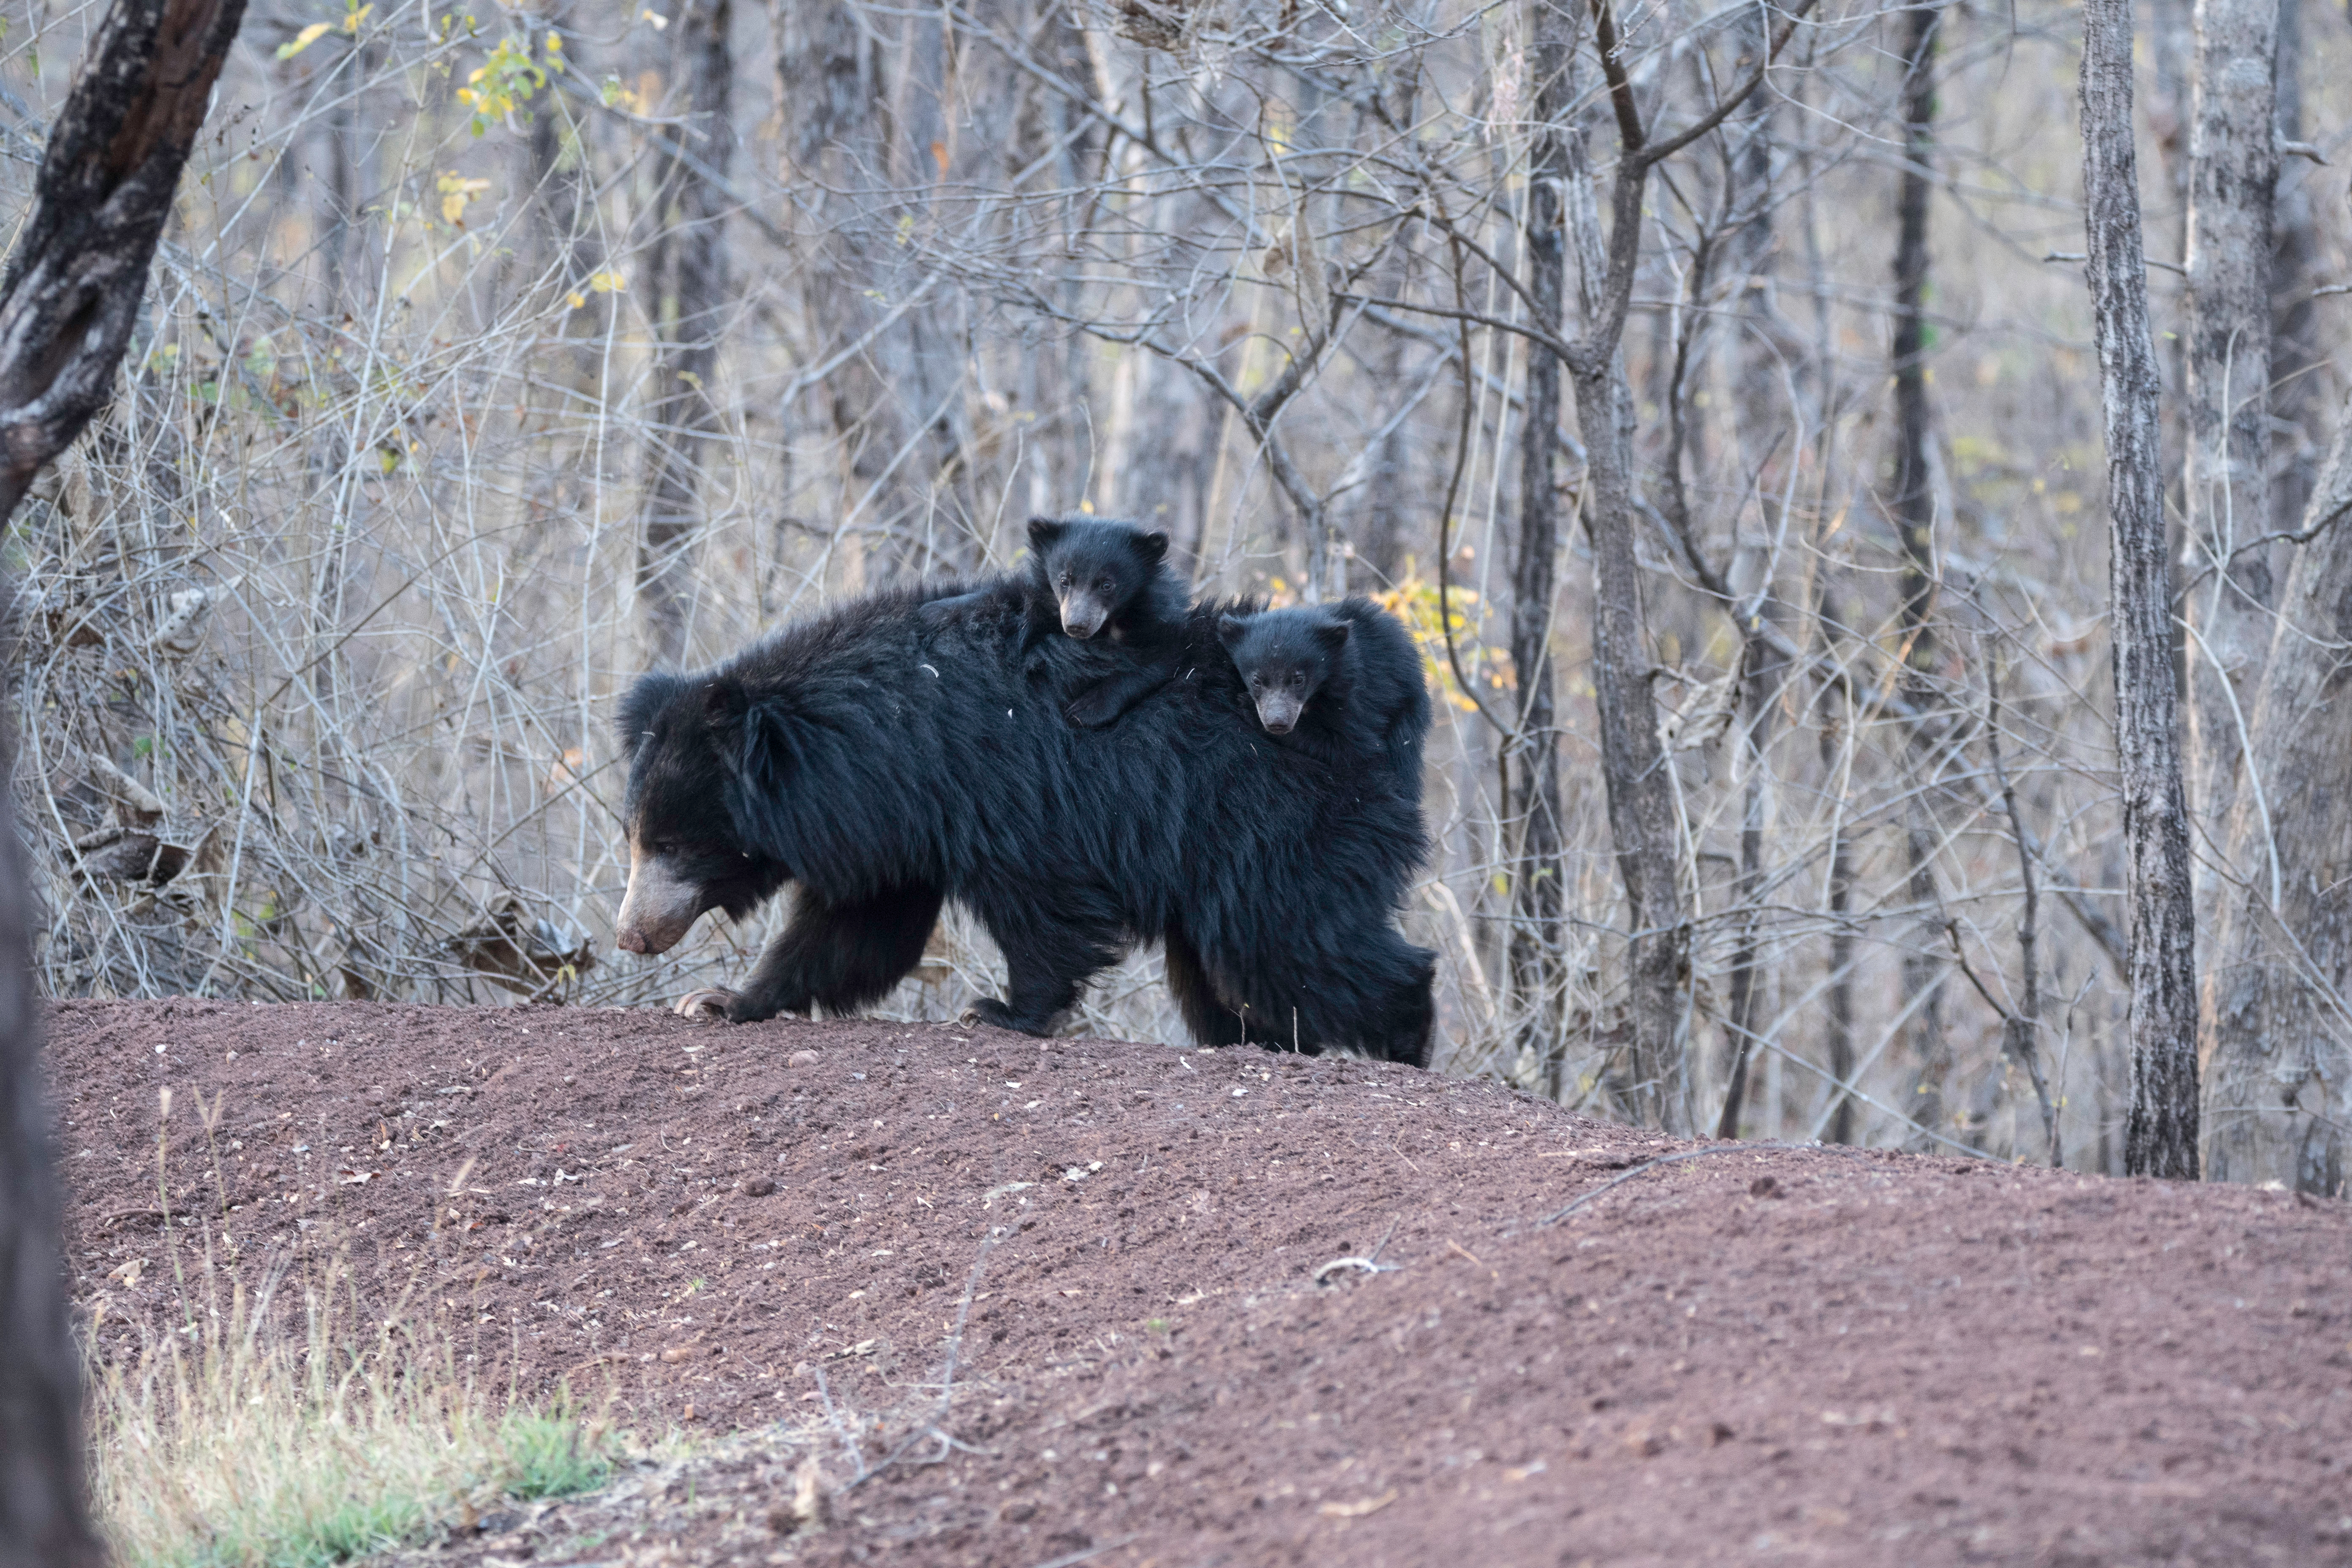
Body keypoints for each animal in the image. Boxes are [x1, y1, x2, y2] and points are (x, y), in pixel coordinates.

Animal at [920, 516, 1187, 728]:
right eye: (1064, 580)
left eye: (1107, 585)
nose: (1076, 625)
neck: (1110, 623)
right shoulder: (1045, 602)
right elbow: (1007, 598)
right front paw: (931, 611)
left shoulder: (1158, 620)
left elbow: (1160, 659)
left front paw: (1084, 711)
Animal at [1216, 597, 1433, 787]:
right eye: (1257, 680)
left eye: (1299, 680)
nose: (1278, 723)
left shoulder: (1355, 695)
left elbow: (1355, 748)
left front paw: (1248, 708)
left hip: (1403, 708)